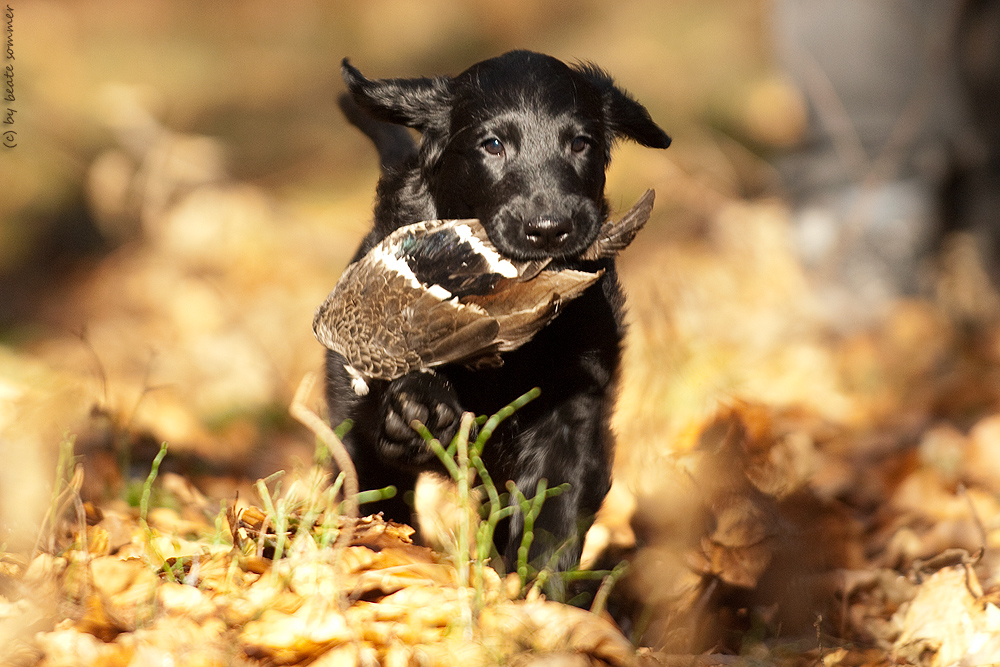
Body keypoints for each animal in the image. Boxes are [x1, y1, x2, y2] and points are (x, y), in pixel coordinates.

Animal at [328, 51, 672, 576]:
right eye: (492, 145)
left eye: (580, 143)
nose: (549, 229)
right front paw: (421, 408)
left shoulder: (575, 408)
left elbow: (554, 507)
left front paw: (534, 587)